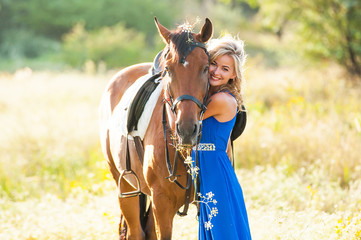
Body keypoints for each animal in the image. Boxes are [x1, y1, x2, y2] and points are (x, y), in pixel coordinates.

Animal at [98, 17, 211, 239]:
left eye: (205, 68)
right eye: (169, 70)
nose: (186, 130)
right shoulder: (162, 205)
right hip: (125, 187)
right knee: (135, 231)